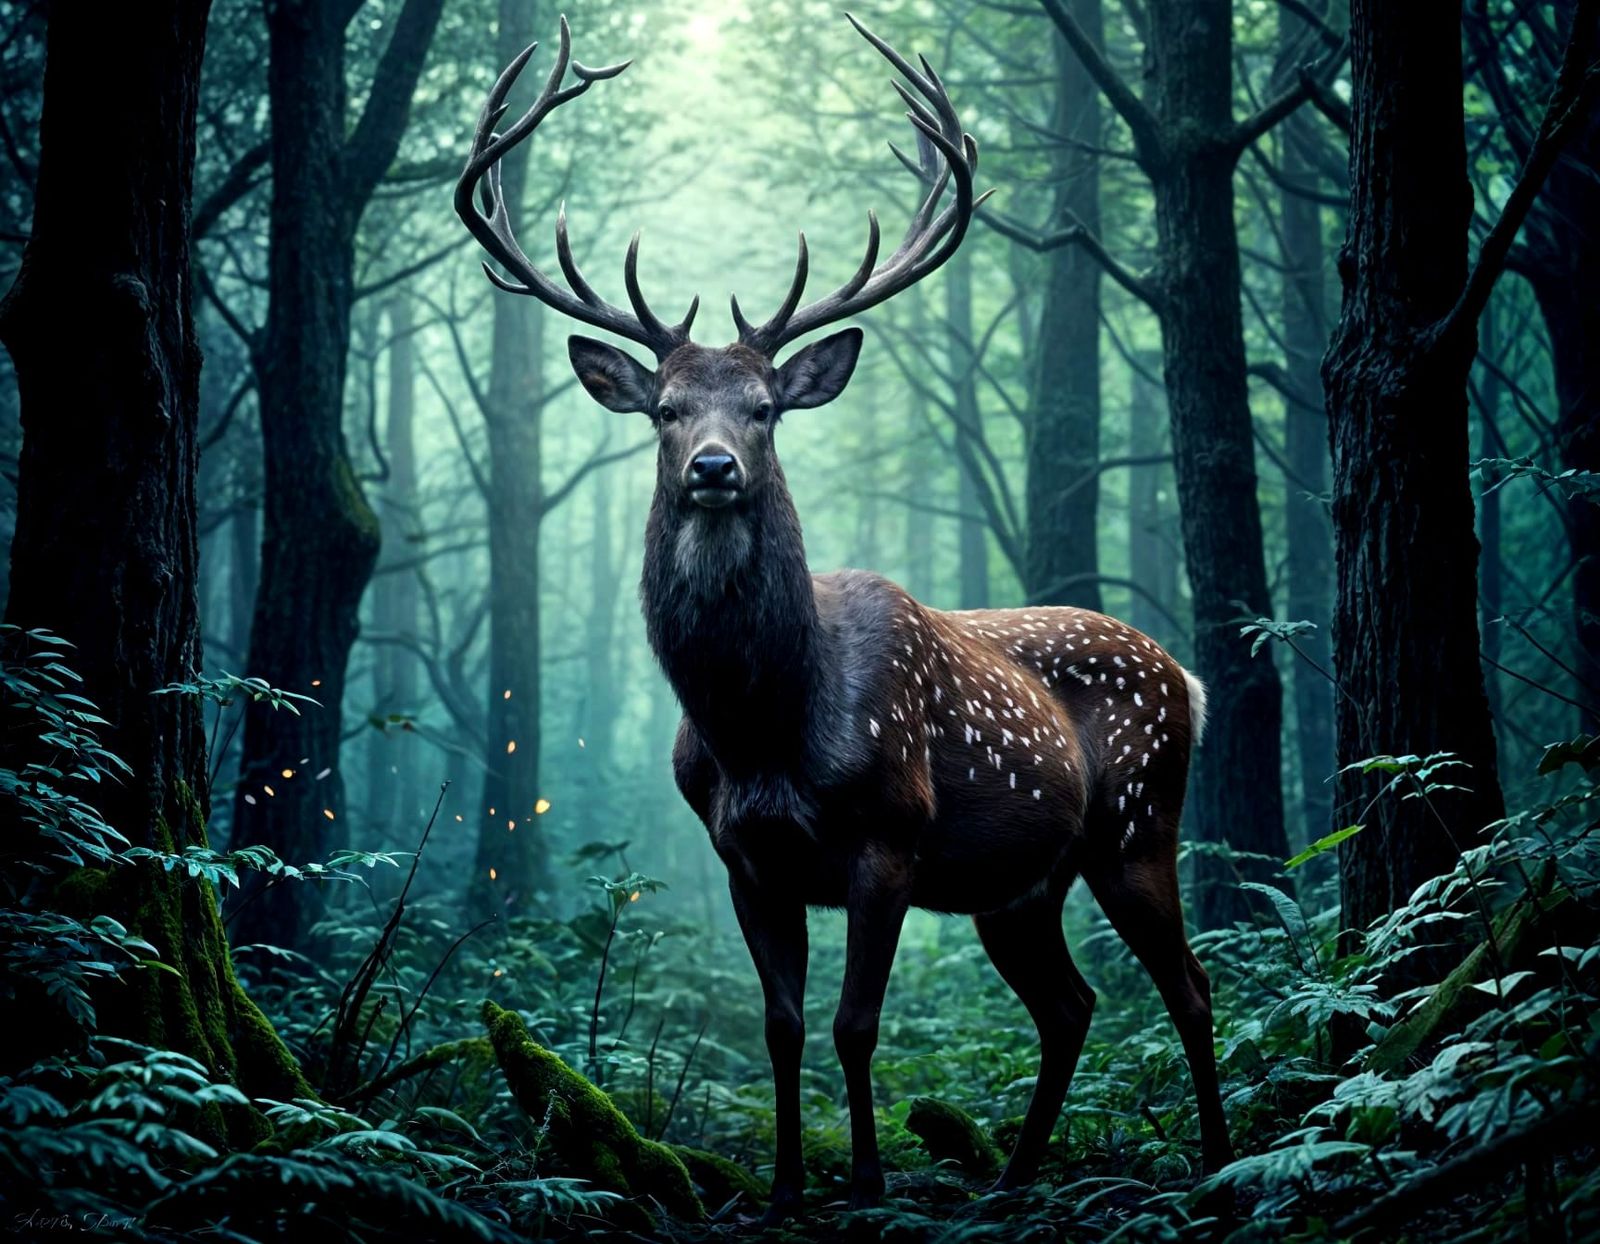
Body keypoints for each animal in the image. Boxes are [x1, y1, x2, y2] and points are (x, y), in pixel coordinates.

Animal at [456, 14, 1234, 1220]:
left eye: (765, 408)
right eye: (666, 409)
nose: (715, 468)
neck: (766, 723)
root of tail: (1186, 674)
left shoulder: (890, 834)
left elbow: (854, 1025)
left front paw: (866, 1183)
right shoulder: (744, 857)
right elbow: (783, 1027)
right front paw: (783, 1187)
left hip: (1138, 818)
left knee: (1190, 986)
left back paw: (1219, 1169)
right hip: (1021, 883)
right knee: (1071, 1004)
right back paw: (1013, 1180)